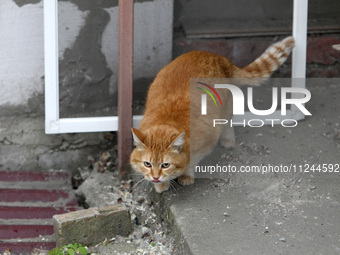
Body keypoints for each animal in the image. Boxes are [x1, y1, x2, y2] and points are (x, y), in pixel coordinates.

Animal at [130, 35, 294, 191]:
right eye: (147, 164)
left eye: (165, 165)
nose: (155, 177)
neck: (168, 119)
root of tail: (217, 56)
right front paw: (160, 185)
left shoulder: (208, 140)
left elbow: (192, 161)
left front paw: (185, 175)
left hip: (226, 108)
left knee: (228, 122)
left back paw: (228, 140)